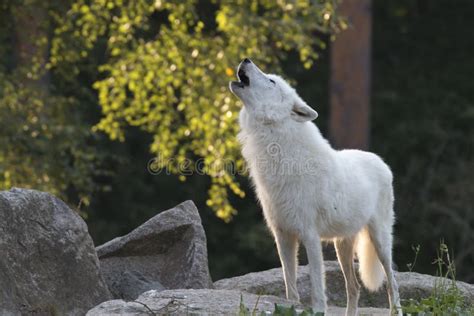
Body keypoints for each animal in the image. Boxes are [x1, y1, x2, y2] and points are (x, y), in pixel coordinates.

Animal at [231, 58, 402, 314]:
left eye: (271, 81)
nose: (246, 59)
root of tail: (380, 160)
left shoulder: (310, 236)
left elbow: (316, 288)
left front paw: (318, 310)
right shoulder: (282, 236)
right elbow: (290, 285)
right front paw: (290, 306)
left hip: (380, 241)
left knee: (393, 284)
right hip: (343, 247)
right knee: (354, 288)